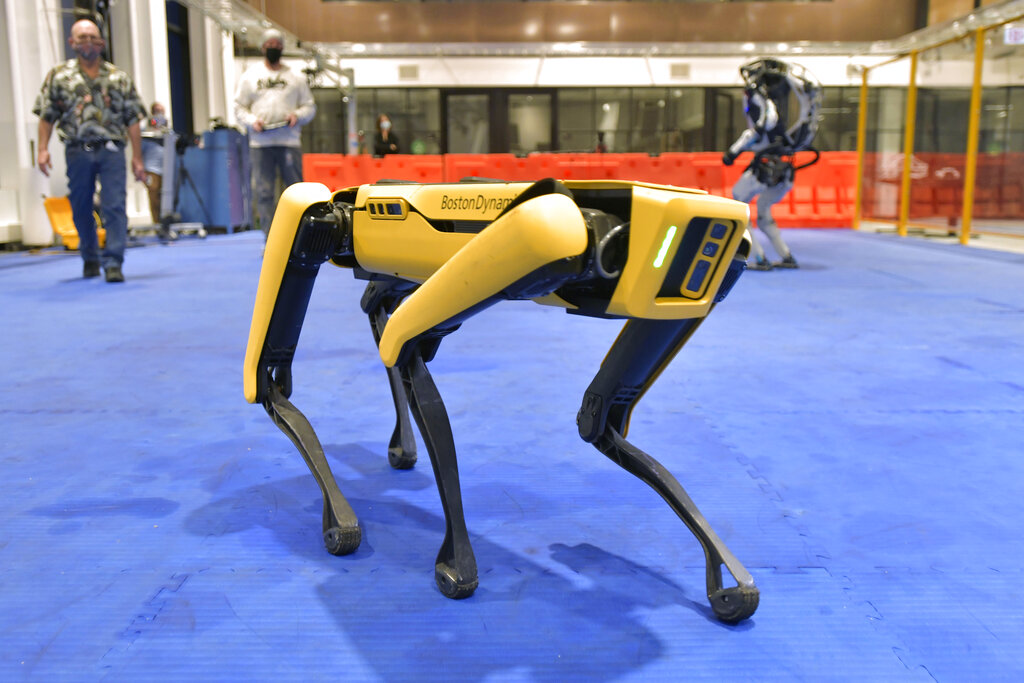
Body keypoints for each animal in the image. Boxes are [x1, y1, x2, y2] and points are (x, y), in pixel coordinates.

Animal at [243, 178, 761, 626]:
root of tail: (355, 196)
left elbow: (599, 420)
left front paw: (728, 583)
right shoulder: (544, 231)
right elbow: (398, 354)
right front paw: (455, 564)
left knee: (378, 308)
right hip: (331, 226)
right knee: (281, 358)